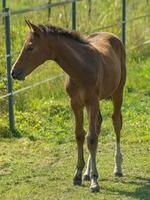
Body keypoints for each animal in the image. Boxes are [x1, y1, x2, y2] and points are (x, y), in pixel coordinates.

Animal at [11, 20, 126, 192]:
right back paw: (87, 173)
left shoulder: (92, 101)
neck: (81, 68)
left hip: (118, 91)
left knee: (116, 122)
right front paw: (78, 174)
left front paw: (94, 181)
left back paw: (117, 168)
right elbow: (80, 135)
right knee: (98, 124)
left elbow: (91, 138)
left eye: (30, 47)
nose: (14, 72)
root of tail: (112, 35)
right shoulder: (75, 103)